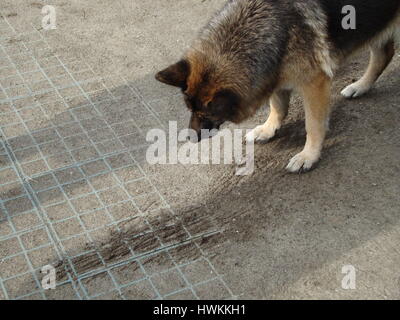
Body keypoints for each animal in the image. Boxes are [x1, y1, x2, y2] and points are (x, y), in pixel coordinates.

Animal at [155, 0, 398, 174]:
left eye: (204, 113)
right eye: (190, 109)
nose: (190, 138)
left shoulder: (314, 83)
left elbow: (313, 125)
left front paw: (309, 155)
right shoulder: (274, 74)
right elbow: (277, 106)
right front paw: (269, 128)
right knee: (383, 54)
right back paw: (361, 86)